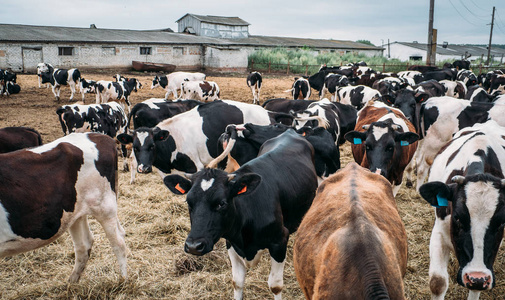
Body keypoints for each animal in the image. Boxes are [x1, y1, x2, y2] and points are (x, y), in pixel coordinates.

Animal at [0, 132, 128, 282]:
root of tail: (101, 136)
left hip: (105, 208)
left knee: (119, 243)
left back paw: (124, 281)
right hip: (75, 213)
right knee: (84, 245)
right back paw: (71, 283)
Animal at [163, 129, 316, 300]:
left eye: (222, 203)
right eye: (189, 202)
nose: (194, 246)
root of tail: (289, 132)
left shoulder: (280, 240)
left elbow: (275, 285)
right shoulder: (231, 242)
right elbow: (237, 282)